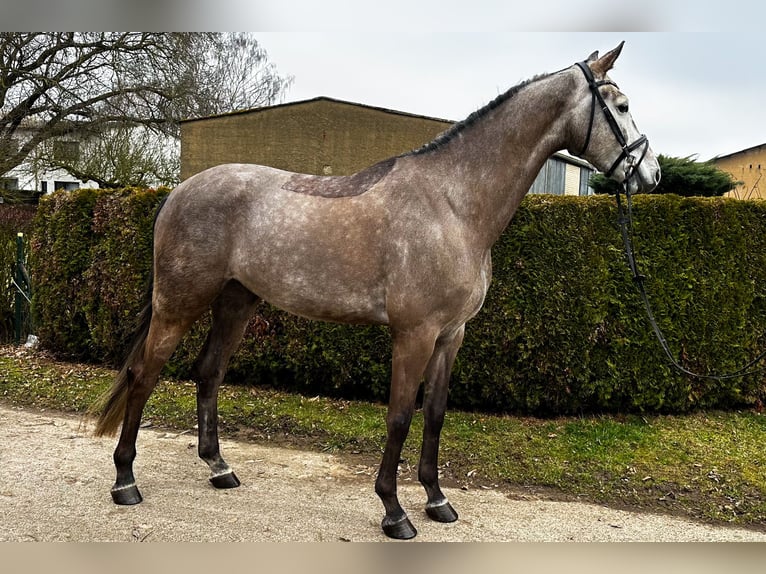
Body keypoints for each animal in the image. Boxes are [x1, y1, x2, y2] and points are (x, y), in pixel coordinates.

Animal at [93, 42, 660, 540]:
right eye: (623, 106)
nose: (650, 173)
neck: (453, 204)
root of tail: (178, 192)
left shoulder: (451, 336)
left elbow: (434, 415)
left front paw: (437, 500)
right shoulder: (414, 334)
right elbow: (400, 417)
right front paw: (394, 511)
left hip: (237, 303)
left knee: (208, 373)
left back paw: (219, 469)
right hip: (179, 304)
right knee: (143, 375)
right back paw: (125, 481)